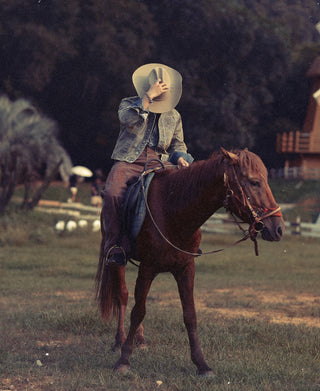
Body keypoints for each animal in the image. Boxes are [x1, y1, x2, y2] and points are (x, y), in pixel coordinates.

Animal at [95, 147, 284, 376]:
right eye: (254, 182)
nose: (278, 228)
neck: (172, 211)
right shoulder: (148, 268)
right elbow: (138, 311)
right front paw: (124, 360)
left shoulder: (186, 269)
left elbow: (190, 314)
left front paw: (202, 364)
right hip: (117, 258)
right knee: (122, 295)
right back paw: (119, 341)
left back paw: (140, 339)